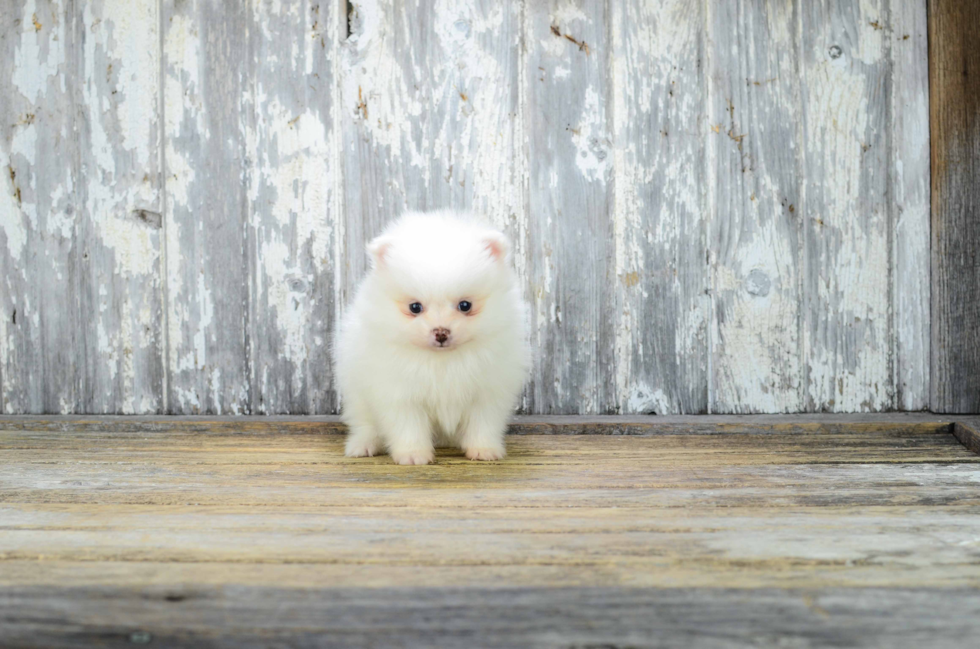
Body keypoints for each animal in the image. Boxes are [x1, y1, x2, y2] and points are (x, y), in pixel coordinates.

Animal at [334, 210, 528, 464]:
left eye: (465, 305)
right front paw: (413, 455)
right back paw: (363, 446)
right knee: (365, 425)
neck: (442, 361)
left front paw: (484, 450)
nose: (441, 332)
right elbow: (408, 426)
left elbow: (482, 423)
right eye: (415, 307)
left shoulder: (487, 392)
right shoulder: (400, 394)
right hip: (357, 396)